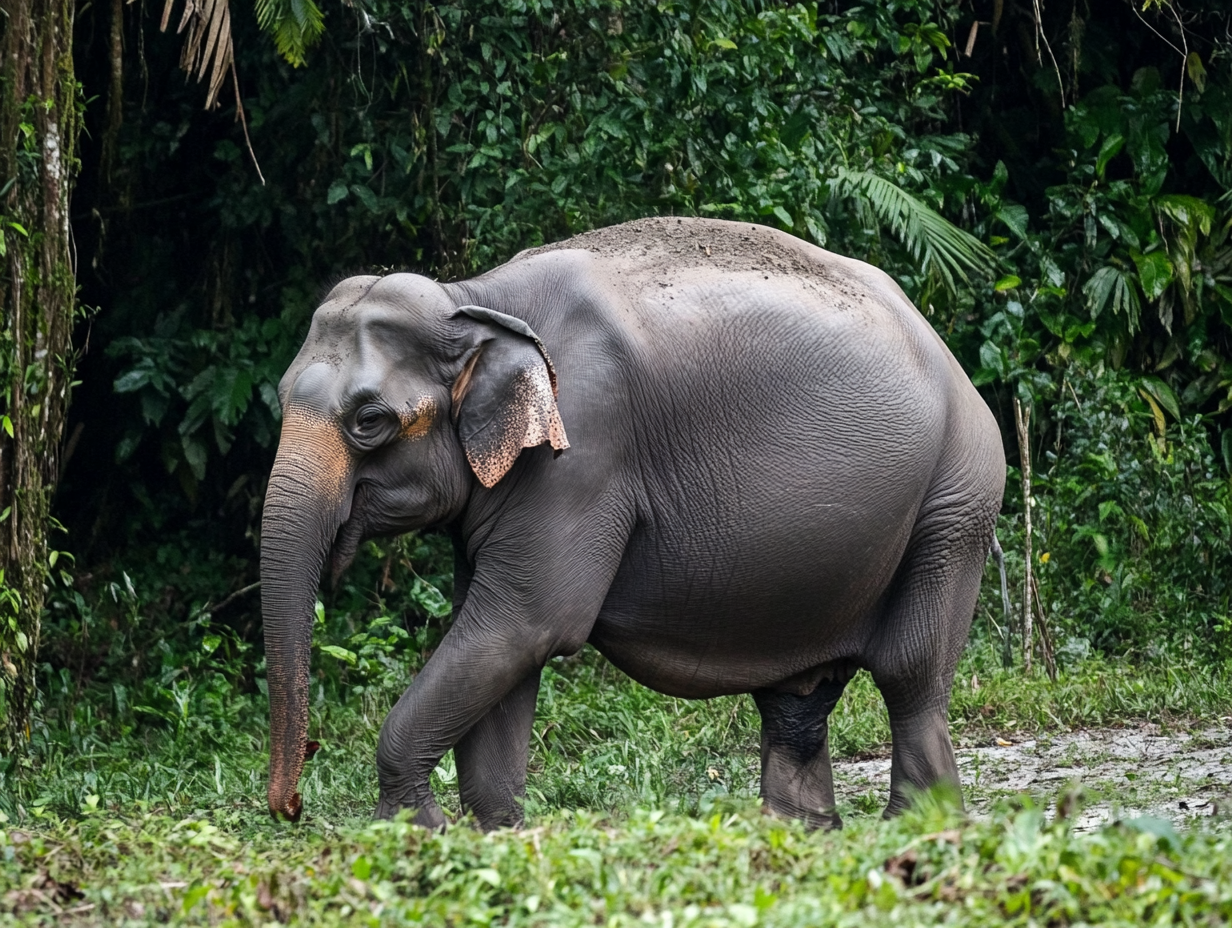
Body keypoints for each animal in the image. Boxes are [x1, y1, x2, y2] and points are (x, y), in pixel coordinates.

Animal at [261, 216, 1005, 830]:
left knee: (910, 670)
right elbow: (501, 639)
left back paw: (919, 825)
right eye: (280, 398)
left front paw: (412, 830)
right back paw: (801, 830)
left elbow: (526, 622)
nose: (291, 806)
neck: (473, 297)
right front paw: (499, 830)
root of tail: (944, 348)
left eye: (369, 421)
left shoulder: (583, 452)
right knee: (797, 695)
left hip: (957, 497)